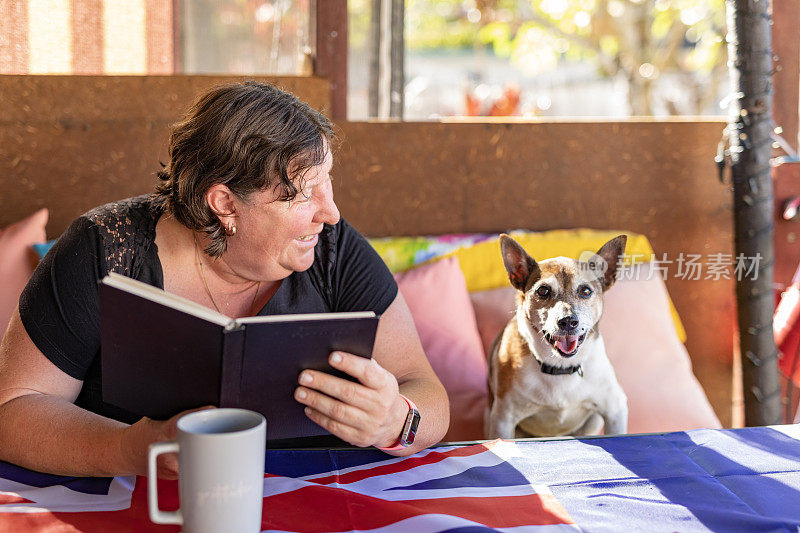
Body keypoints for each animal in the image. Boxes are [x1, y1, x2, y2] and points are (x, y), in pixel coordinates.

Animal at [484, 233, 628, 436]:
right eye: (543, 290)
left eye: (585, 291)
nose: (568, 321)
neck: (560, 368)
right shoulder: (502, 420)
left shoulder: (615, 410)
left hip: (594, 421)